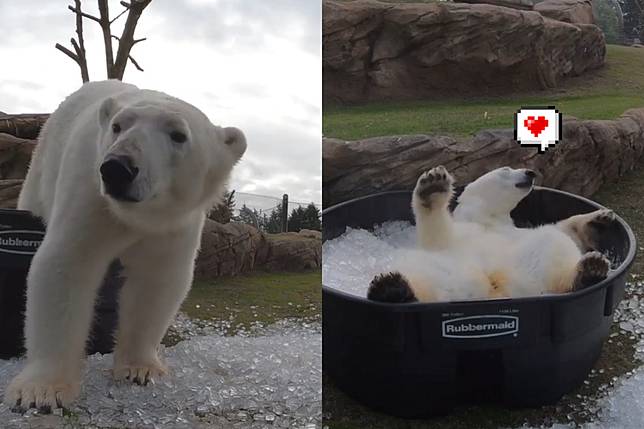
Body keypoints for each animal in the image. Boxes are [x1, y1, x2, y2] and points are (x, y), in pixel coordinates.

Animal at [4, 80, 246, 412]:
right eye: (118, 126)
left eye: (178, 135)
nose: (118, 168)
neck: (136, 216)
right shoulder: (89, 191)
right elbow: (66, 265)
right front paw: (41, 390)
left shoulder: (176, 223)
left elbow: (156, 281)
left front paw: (139, 370)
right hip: (41, 171)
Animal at [368, 166, 614, 303]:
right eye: (505, 169)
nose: (530, 172)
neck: (488, 218)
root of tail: (495, 293)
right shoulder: (459, 233)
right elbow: (437, 237)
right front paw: (433, 186)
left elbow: (564, 231)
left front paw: (602, 216)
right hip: (439, 275)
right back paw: (390, 289)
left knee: (554, 254)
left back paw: (590, 270)